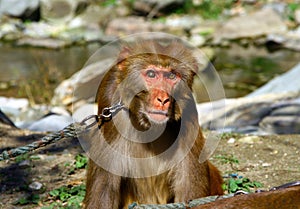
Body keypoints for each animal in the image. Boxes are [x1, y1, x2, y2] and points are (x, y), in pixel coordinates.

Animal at [82, 39, 223, 209]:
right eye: (151, 74)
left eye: (171, 76)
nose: (163, 99)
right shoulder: (110, 105)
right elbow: (103, 192)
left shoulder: (188, 109)